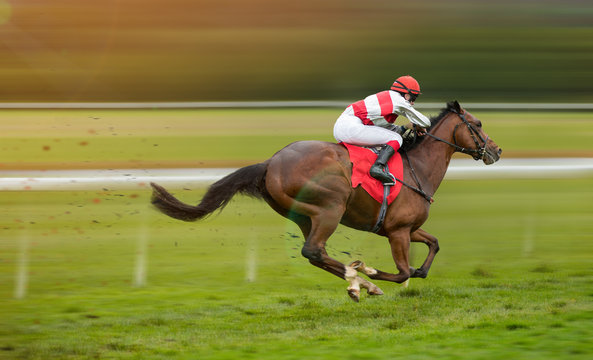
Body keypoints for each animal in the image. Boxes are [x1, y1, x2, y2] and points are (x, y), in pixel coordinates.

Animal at [150, 100, 502, 300]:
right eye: (478, 124)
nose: (496, 150)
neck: (419, 168)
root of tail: (271, 162)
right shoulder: (399, 231)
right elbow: (403, 272)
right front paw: (373, 274)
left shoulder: (405, 228)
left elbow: (433, 246)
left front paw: (396, 274)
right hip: (330, 208)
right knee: (314, 250)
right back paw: (362, 281)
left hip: (303, 216)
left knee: (315, 254)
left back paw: (357, 282)